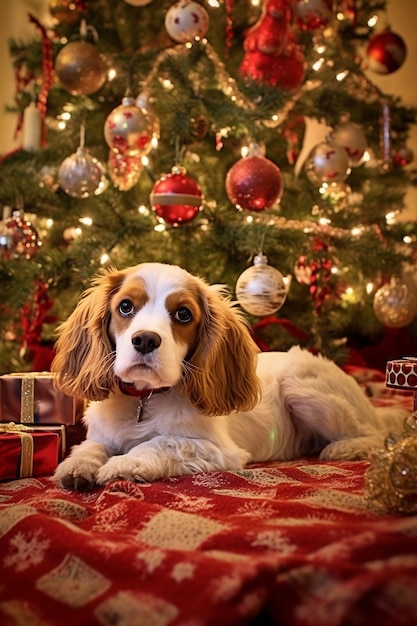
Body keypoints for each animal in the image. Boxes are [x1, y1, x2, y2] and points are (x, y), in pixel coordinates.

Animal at [50, 260, 404, 488]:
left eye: (183, 314)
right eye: (125, 307)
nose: (146, 340)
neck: (145, 399)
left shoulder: (220, 450)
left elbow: (163, 442)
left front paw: (123, 463)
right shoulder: (102, 434)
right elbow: (91, 446)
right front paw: (77, 465)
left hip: (302, 380)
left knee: (375, 434)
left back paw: (343, 448)